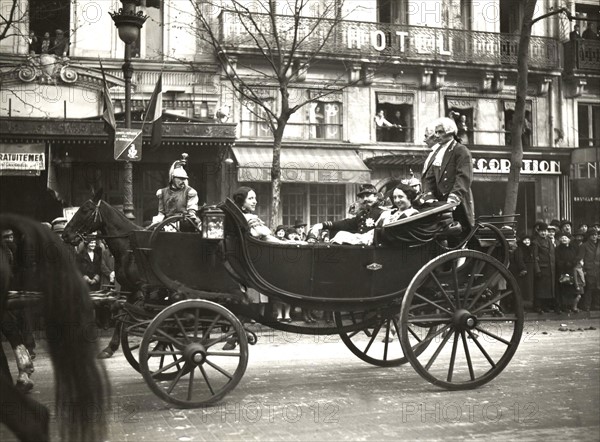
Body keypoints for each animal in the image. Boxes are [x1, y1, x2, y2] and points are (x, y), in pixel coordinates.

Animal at [61, 188, 144, 358]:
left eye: (85, 210)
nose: (65, 234)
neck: (129, 249)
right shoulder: (128, 288)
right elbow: (121, 313)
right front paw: (110, 347)